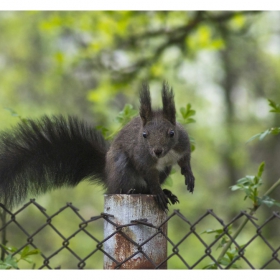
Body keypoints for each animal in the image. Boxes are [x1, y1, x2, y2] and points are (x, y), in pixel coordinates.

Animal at [0, 82, 195, 211]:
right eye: (144, 135)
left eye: (171, 133)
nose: (157, 151)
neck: (166, 154)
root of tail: (107, 173)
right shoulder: (142, 156)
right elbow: (148, 173)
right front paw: (158, 193)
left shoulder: (183, 145)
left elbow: (185, 160)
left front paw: (189, 176)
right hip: (120, 166)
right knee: (123, 188)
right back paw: (135, 191)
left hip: (165, 171)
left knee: (146, 188)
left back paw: (166, 192)